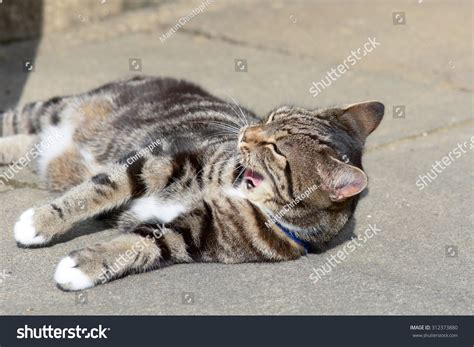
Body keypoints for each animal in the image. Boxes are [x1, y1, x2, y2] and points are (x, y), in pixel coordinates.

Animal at [0, 76, 384, 290]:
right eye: (273, 117)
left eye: (277, 148)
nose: (246, 132)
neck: (239, 190)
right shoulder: (161, 160)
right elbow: (100, 188)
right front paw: (39, 222)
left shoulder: (191, 235)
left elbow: (138, 246)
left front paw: (81, 267)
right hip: (57, 109)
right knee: (23, 120)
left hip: (47, 144)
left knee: (31, 143)